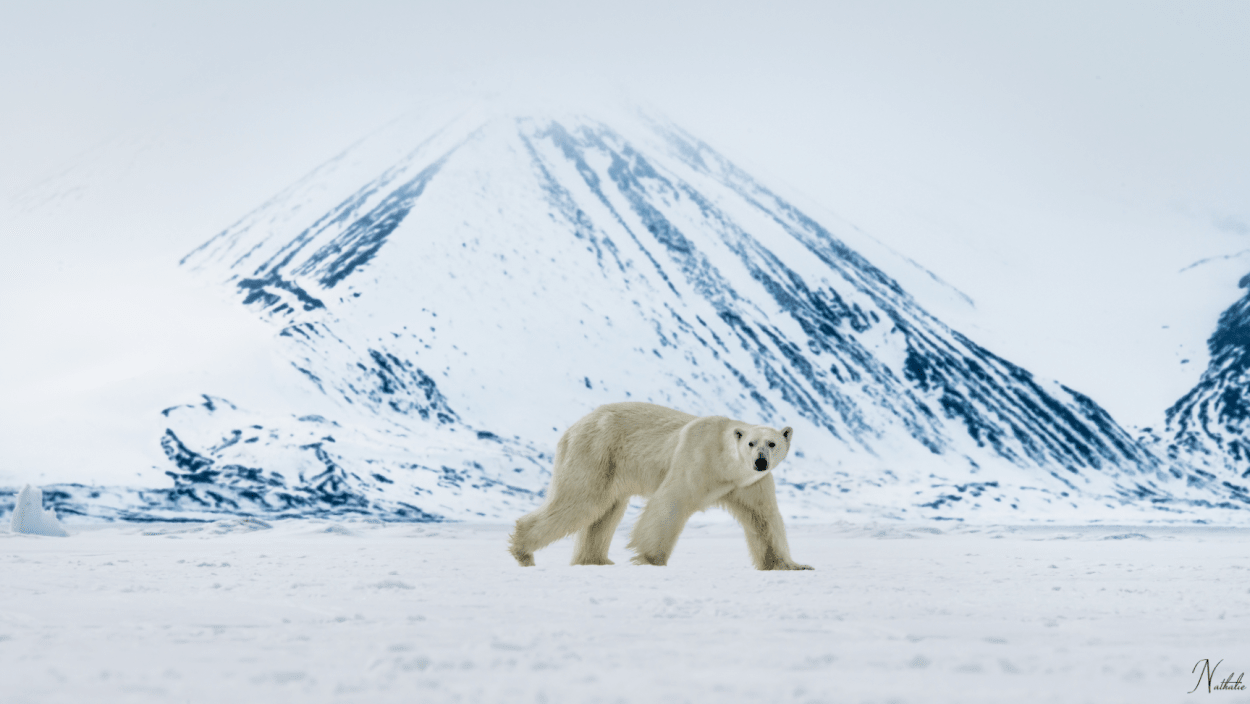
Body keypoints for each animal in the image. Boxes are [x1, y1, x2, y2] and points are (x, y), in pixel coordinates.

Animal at [507, 405, 810, 570]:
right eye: (750, 443)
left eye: (772, 443)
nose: (760, 461)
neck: (725, 464)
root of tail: (571, 429)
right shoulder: (697, 459)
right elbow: (670, 503)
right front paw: (651, 559)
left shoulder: (750, 484)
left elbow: (764, 519)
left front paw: (793, 565)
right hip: (596, 451)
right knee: (582, 501)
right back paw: (524, 552)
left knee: (605, 512)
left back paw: (594, 560)